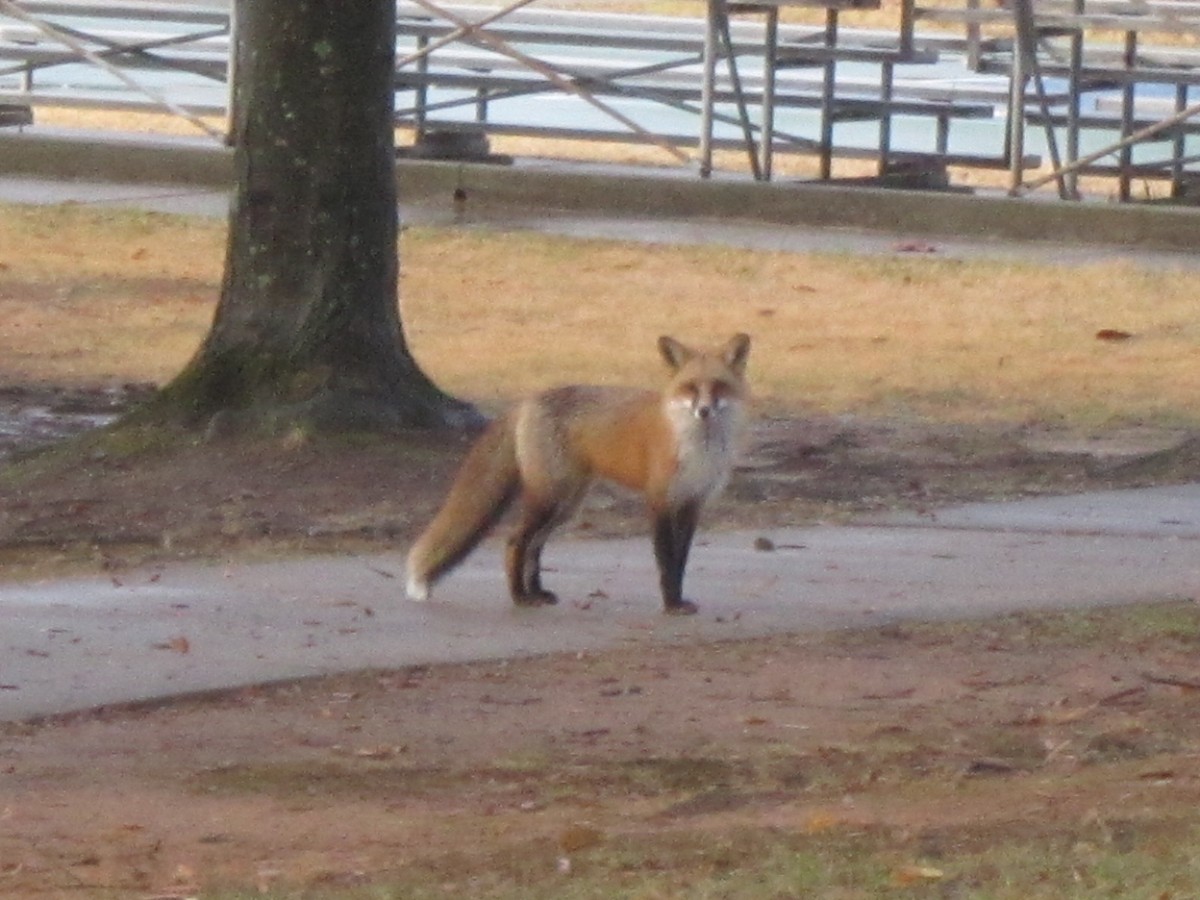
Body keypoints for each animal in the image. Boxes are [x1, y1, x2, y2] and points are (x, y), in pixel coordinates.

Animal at [405, 333, 751, 615]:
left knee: (535, 546)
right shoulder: (660, 501)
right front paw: (671, 605)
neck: (697, 446)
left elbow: (681, 561)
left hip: (566, 505)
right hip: (548, 499)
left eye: (719, 386)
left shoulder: (692, 503)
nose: (703, 411)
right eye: (690, 388)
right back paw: (520, 598)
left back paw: (537, 593)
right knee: (516, 541)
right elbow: (666, 562)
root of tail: (528, 400)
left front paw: (678, 600)